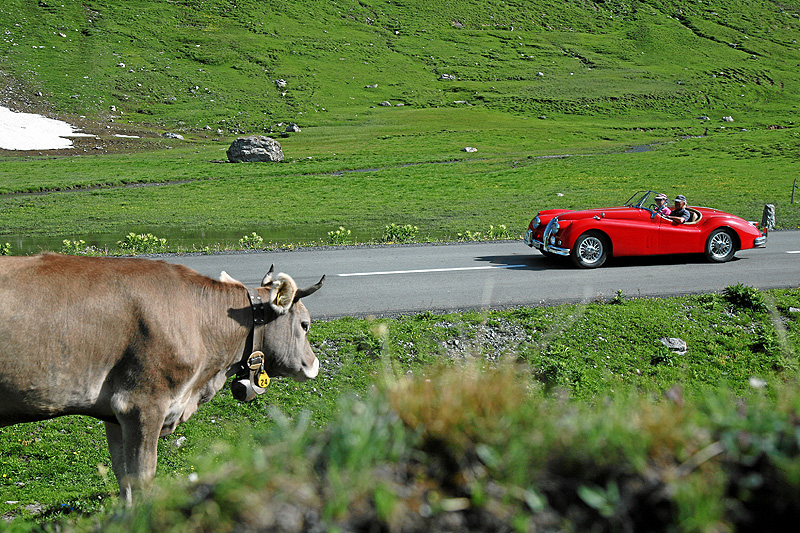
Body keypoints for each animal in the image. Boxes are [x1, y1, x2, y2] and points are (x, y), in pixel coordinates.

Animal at [1, 251, 324, 500]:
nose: (314, 364)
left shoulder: (113, 414)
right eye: (305, 325)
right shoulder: (140, 404)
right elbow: (142, 477)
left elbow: (122, 475)